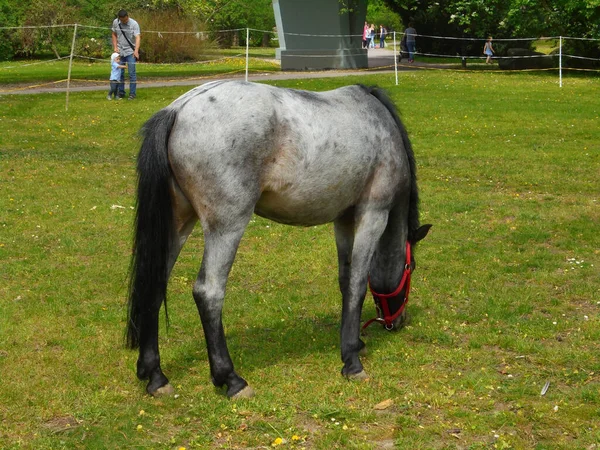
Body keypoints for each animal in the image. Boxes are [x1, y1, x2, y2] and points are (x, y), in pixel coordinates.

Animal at [127, 80, 432, 398]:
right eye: (410, 268)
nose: (397, 322)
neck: (380, 122)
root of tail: (179, 109)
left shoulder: (343, 220)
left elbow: (345, 280)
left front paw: (354, 343)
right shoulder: (372, 214)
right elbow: (358, 284)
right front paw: (352, 360)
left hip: (178, 224)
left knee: (154, 285)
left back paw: (155, 376)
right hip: (226, 226)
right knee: (208, 293)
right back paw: (231, 379)